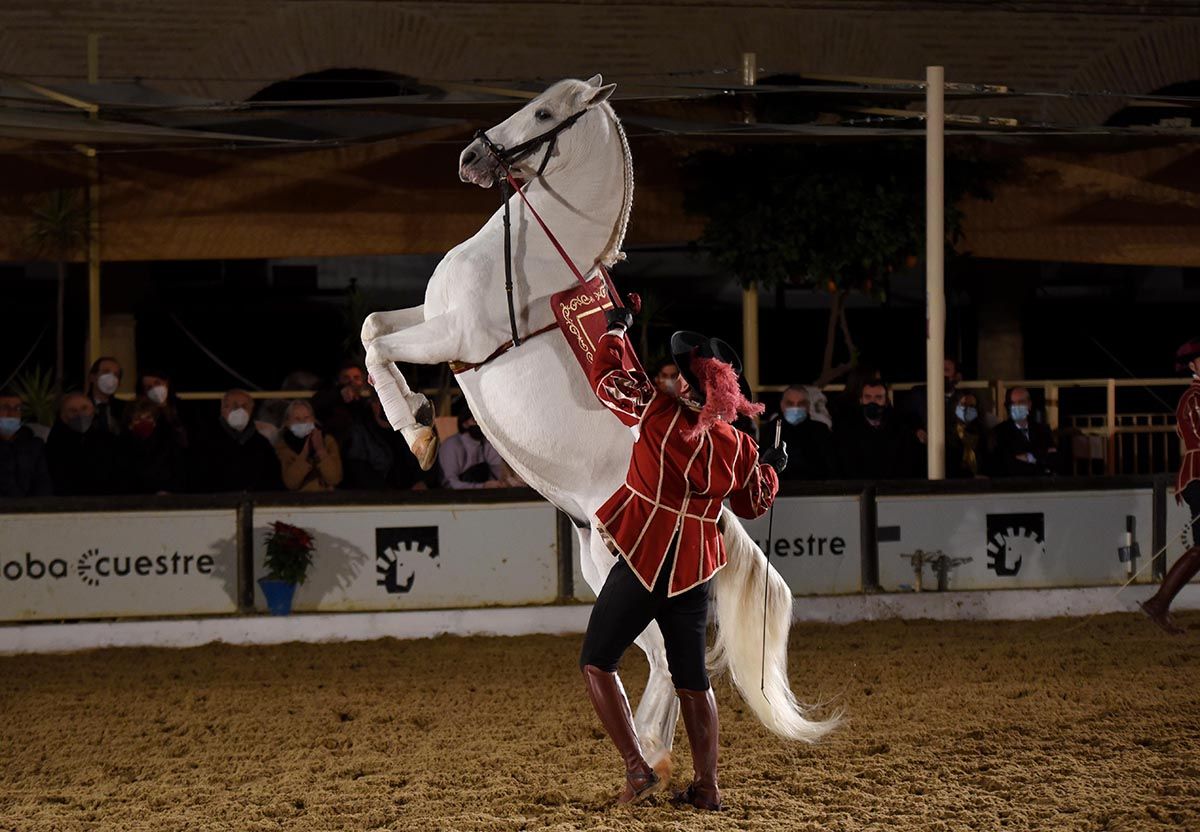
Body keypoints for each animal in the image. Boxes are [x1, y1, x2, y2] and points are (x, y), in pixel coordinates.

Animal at [360, 74, 840, 763]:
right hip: (601, 570)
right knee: (669, 665)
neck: (529, 261)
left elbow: (375, 344)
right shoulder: (434, 324)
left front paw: (419, 432)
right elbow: (373, 327)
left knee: (669, 664)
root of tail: (710, 510)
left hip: (630, 580)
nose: (470, 158)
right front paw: (419, 416)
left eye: (542, 113)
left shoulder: (455, 337)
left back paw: (648, 751)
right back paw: (652, 750)